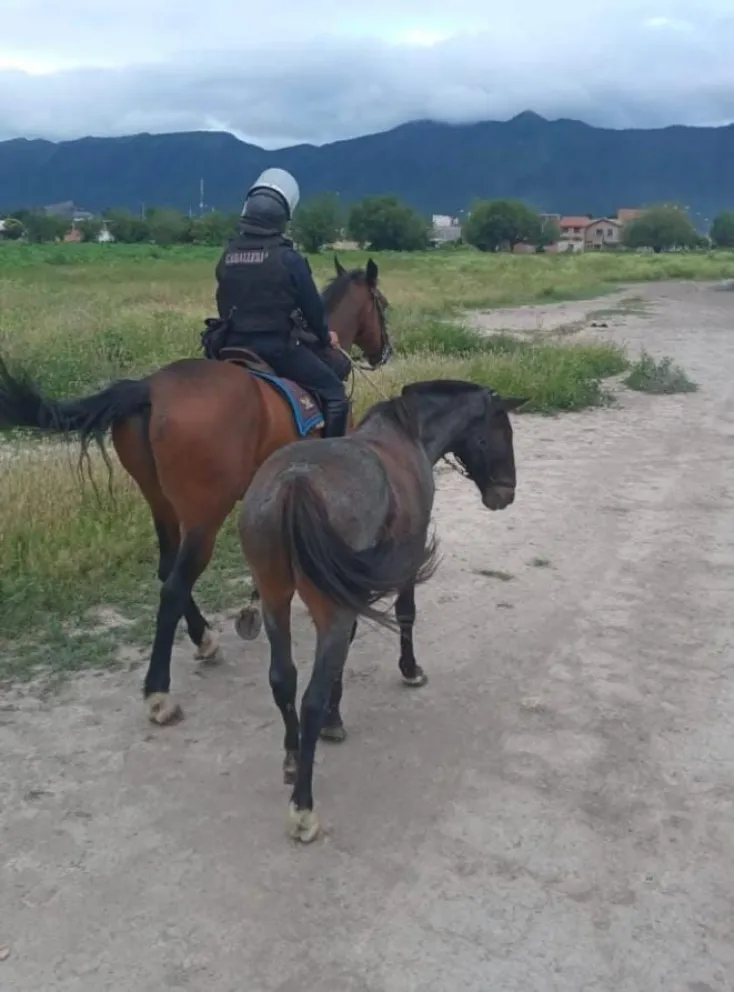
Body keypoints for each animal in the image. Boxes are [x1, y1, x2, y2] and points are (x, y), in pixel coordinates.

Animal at [0, 255, 391, 726]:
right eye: (382, 304)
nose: (384, 351)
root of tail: (148, 388)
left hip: (162, 502)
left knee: (168, 569)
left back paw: (203, 638)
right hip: (205, 513)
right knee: (174, 584)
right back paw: (159, 691)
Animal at [237, 379, 527, 842]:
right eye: (500, 432)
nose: (505, 493)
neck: (405, 433)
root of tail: (294, 482)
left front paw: (335, 718)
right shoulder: (399, 566)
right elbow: (406, 615)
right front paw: (409, 670)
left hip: (274, 600)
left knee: (282, 680)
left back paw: (292, 756)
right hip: (327, 611)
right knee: (309, 697)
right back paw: (303, 806)